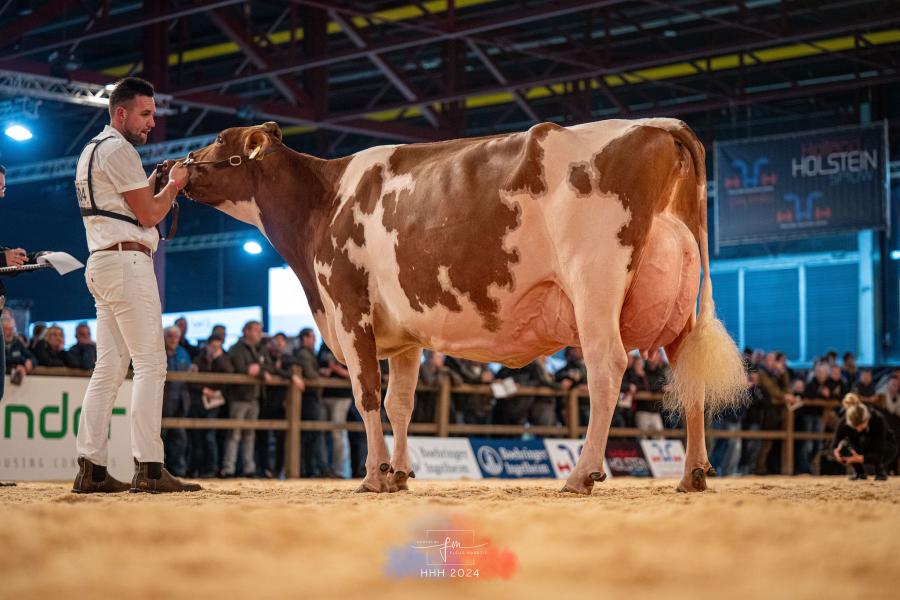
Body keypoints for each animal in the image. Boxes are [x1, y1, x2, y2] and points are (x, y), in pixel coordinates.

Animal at [167, 116, 744, 492]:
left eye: (218, 140)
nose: (174, 162)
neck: (322, 203)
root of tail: (661, 125)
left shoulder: (349, 308)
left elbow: (366, 396)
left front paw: (373, 475)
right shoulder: (404, 335)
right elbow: (400, 402)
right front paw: (400, 473)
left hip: (594, 285)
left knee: (607, 369)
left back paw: (582, 473)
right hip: (680, 304)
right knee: (689, 370)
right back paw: (692, 474)